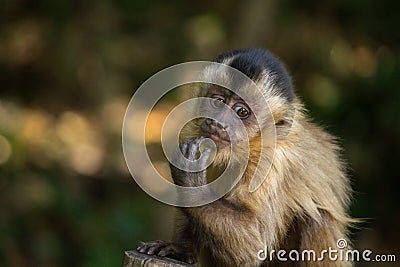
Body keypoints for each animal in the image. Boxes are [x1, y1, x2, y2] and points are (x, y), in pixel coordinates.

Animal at [138, 48, 354, 267]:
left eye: (242, 112)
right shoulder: (192, 129)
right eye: (219, 101)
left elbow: (252, 246)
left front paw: (191, 175)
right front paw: (181, 248)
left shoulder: (272, 160)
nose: (218, 123)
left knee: (315, 217)